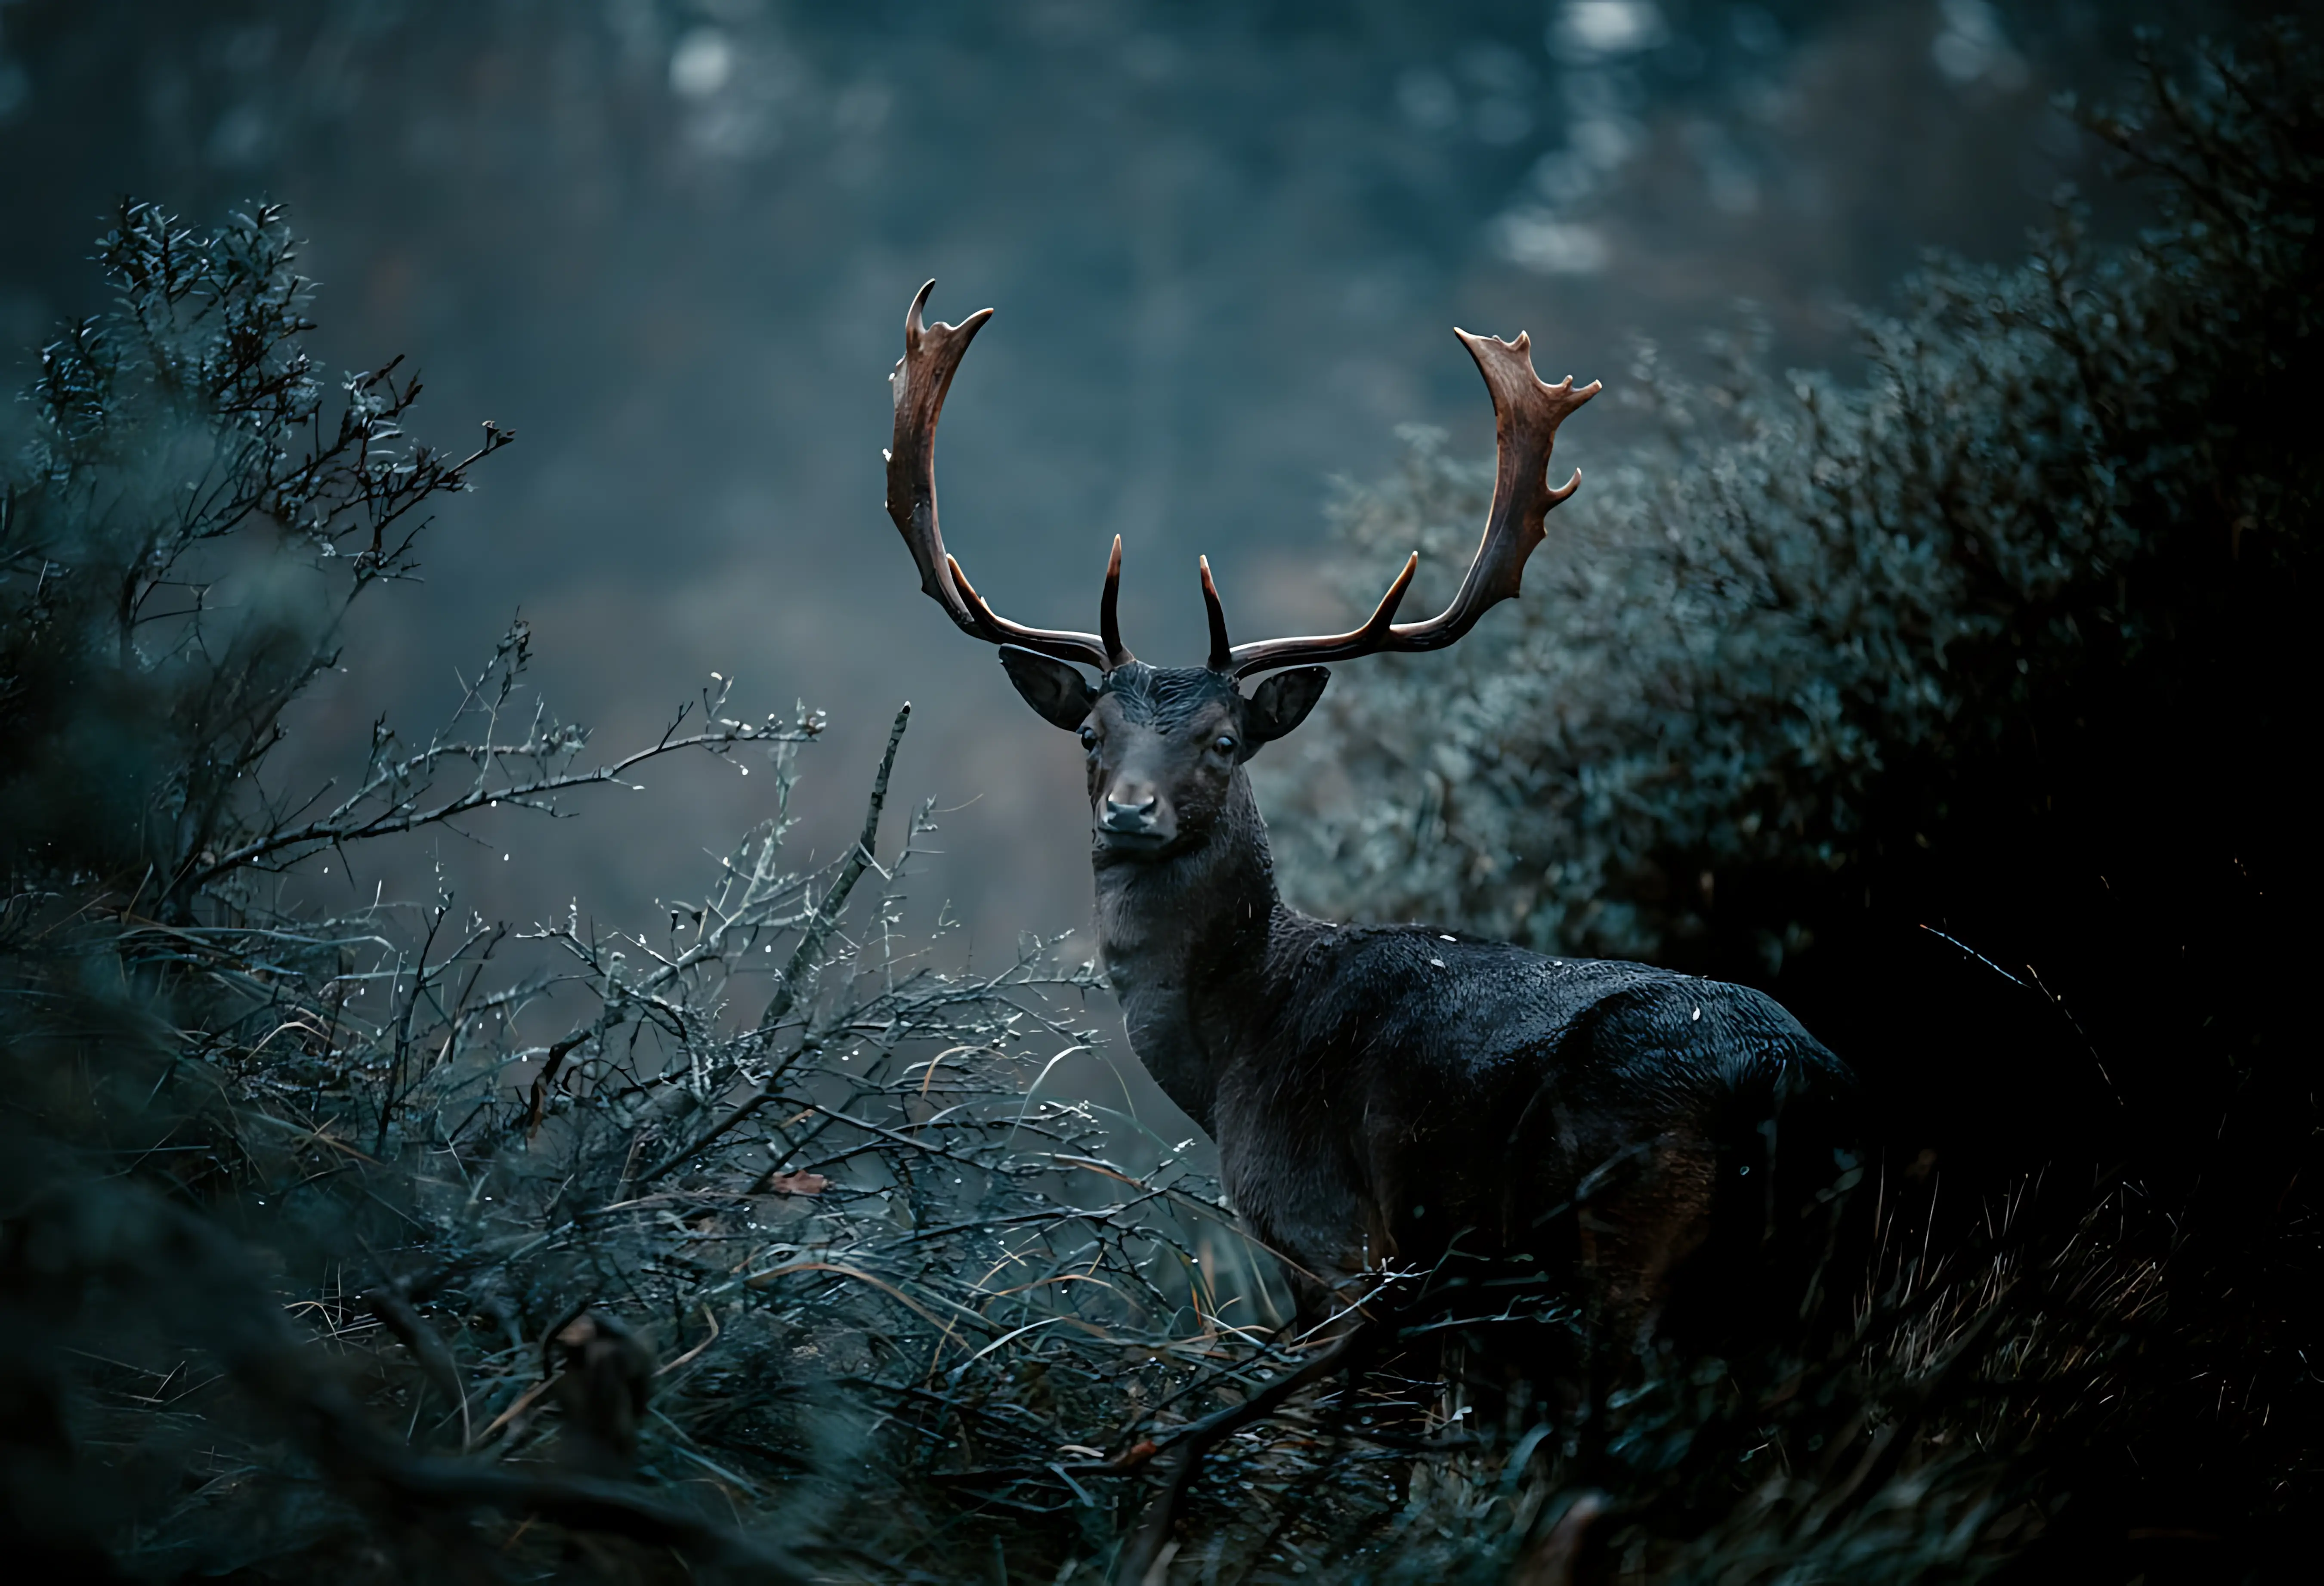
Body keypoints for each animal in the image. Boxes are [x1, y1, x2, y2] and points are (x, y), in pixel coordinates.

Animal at [878, 281, 1856, 1407]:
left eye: (1224, 741)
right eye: (1091, 734)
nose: (1130, 811)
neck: (1230, 1059)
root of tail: (1787, 1086)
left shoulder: (1335, 1242)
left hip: (1626, 1238)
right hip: (1816, 1273)